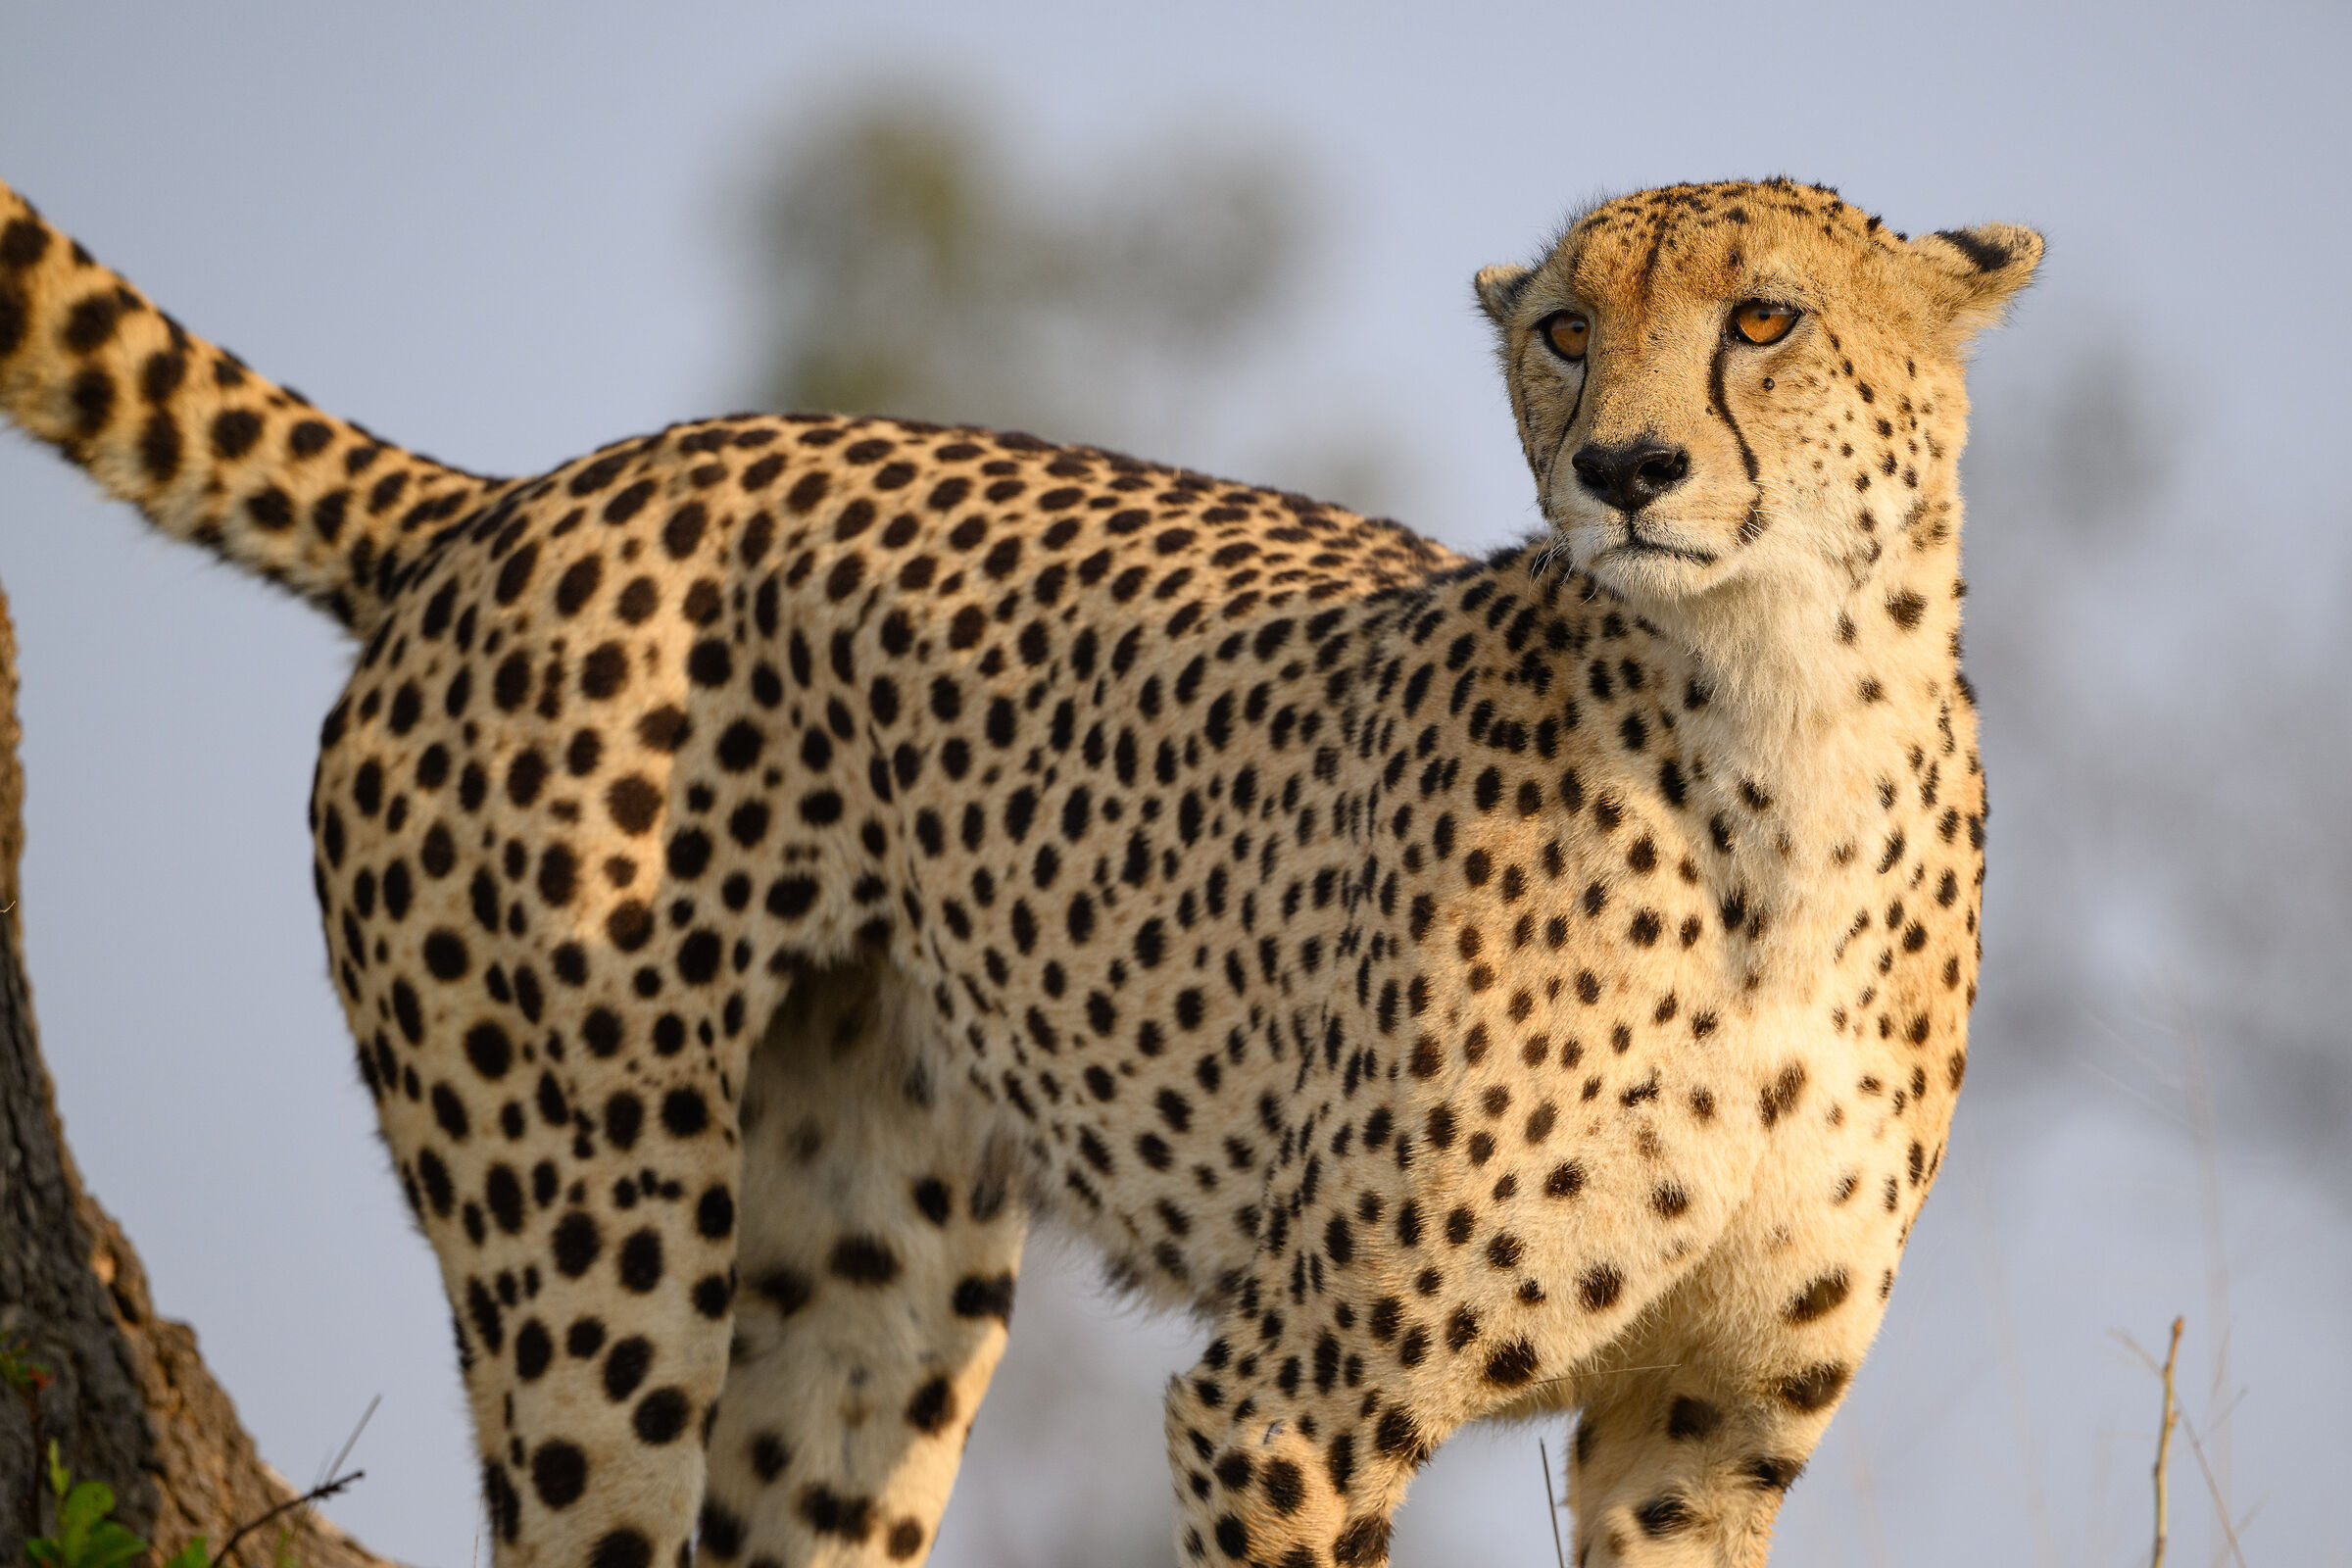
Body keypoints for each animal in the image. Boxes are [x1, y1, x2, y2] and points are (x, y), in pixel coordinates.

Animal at [0, 173, 2038, 1567]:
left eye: (1762, 320)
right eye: (1562, 332)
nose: (1622, 467)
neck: (1786, 728)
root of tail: (522, 494)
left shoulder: (1698, 1438)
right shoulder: (1289, 1406)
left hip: (862, 1289)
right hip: (589, 1234)